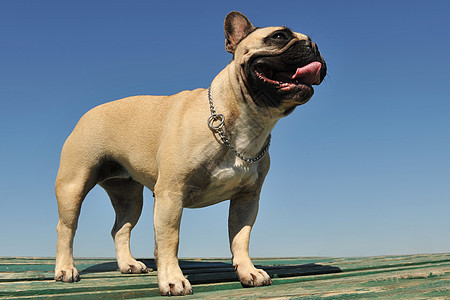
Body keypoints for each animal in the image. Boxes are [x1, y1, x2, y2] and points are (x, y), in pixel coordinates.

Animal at [53, 11, 326, 296]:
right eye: (279, 36)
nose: (313, 46)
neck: (247, 121)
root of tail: (88, 113)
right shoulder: (171, 194)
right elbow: (170, 239)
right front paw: (172, 279)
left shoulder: (247, 199)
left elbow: (240, 239)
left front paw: (248, 271)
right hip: (73, 185)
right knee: (66, 227)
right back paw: (65, 269)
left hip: (129, 197)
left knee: (120, 229)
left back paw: (128, 264)